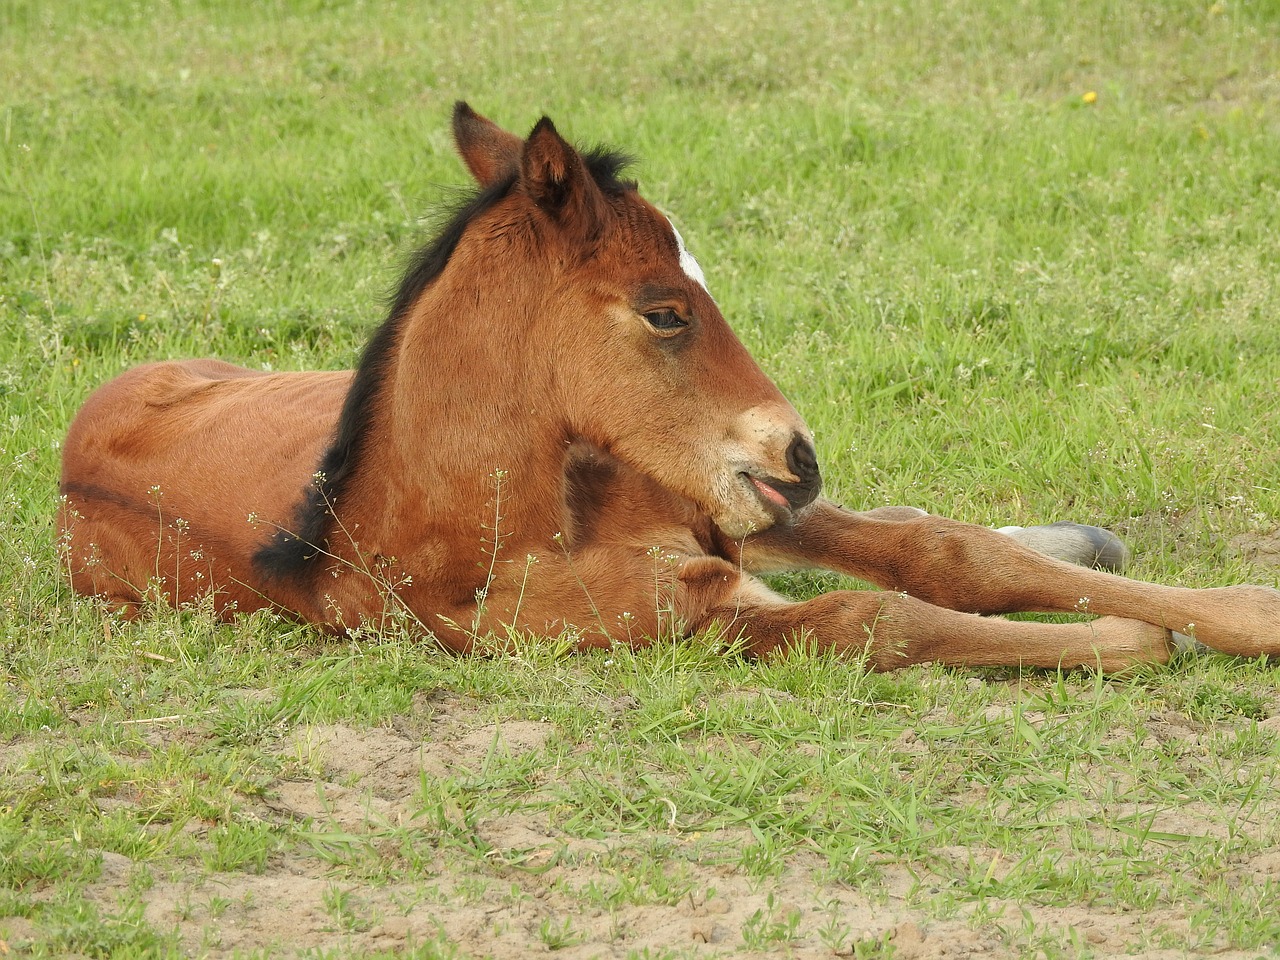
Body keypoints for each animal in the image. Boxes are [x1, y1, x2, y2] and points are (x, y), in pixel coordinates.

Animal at [62, 99, 1280, 670]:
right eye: (664, 310)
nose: (800, 455)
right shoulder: (690, 616)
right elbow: (875, 614)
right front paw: (1136, 640)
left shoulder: (718, 503)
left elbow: (944, 554)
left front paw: (1242, 613)